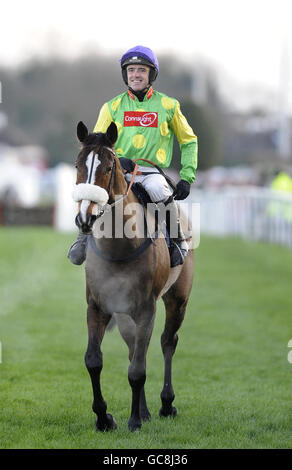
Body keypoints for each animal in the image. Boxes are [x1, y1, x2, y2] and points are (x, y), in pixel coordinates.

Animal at [71, 119, 194, 432]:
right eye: (78, 164)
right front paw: (104, 417)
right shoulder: (97, 305)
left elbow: (138, 370)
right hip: (124, 312)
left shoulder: (147, 308)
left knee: (167, 342)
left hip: (177, 299)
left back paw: (165, 404)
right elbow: (93, 360)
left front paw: (135, 420)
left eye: (108, 166)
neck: (119, 247)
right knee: (134, 348)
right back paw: (147, 409)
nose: (85, 217)